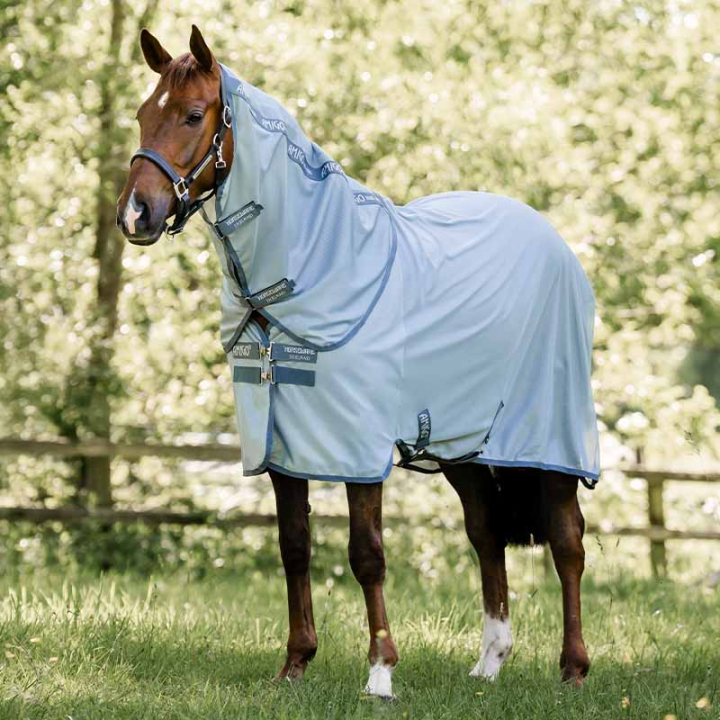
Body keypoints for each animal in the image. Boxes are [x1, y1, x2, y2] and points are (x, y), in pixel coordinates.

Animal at [116, 26, 599, 697]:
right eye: (142, 114)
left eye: (192, 115)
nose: (135, 214)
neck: (321, 265)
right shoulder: (281, 444)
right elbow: (294, 545)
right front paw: (295, 663)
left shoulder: (357, 447)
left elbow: (366, 553)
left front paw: (380, 673)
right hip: (464, 444)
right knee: (485, 533)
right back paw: (489, 663)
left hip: (549, 437)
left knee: (567, 539)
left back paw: (573, 668)